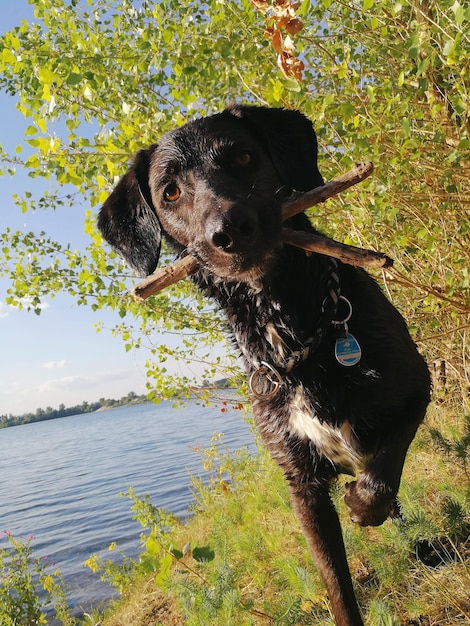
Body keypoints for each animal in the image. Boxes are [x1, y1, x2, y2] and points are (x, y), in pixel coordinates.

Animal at [98, 105, 430, 620]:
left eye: (243, 156)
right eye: (170, 191)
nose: (230, 230)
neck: (293, 334)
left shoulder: (417, 391)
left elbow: (379, 476)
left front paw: (360, 504)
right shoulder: (301, 484)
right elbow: (336, 585)